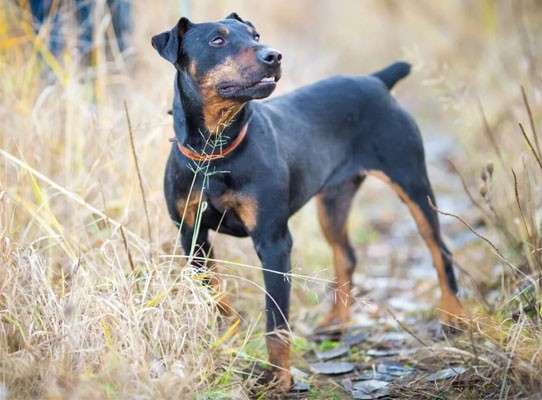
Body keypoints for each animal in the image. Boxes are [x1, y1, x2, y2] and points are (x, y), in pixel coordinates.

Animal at [152, 11, 464, 390]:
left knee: (439, 250)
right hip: (333, 201)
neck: (215, 152)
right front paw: (228, 333)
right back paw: (336, 322)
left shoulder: (273, 242)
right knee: (346, 255)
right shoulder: (192, 236)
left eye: (255, 35)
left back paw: (453, 317)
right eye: (217, 40)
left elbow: (277, 323)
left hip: (412, 182)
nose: (273, 55)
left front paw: (279, 379)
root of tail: (377, 81)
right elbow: (214, 294)